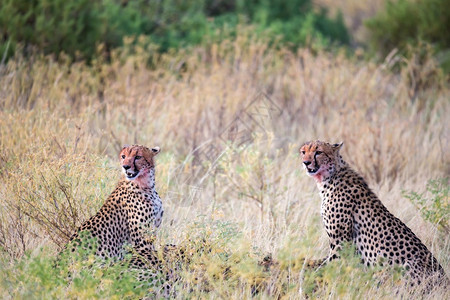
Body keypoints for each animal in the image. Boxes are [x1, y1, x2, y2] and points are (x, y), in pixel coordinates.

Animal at [298, 141, 446, 288]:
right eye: (303, 152)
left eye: (318, 152)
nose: (306, 162)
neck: (331, 176)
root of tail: (444, 279)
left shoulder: (341, 243)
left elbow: (328, 268)